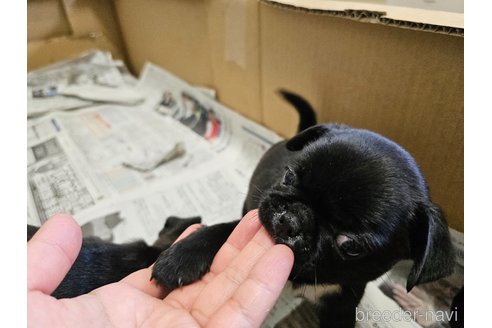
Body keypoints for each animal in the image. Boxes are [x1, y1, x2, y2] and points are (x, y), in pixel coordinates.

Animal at [152, 90, 456, 328]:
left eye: (351, 246)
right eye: (288, 176)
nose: (291, 219)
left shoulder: (342, 304)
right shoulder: (250, 218)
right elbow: (221, 230)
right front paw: (181, 257)